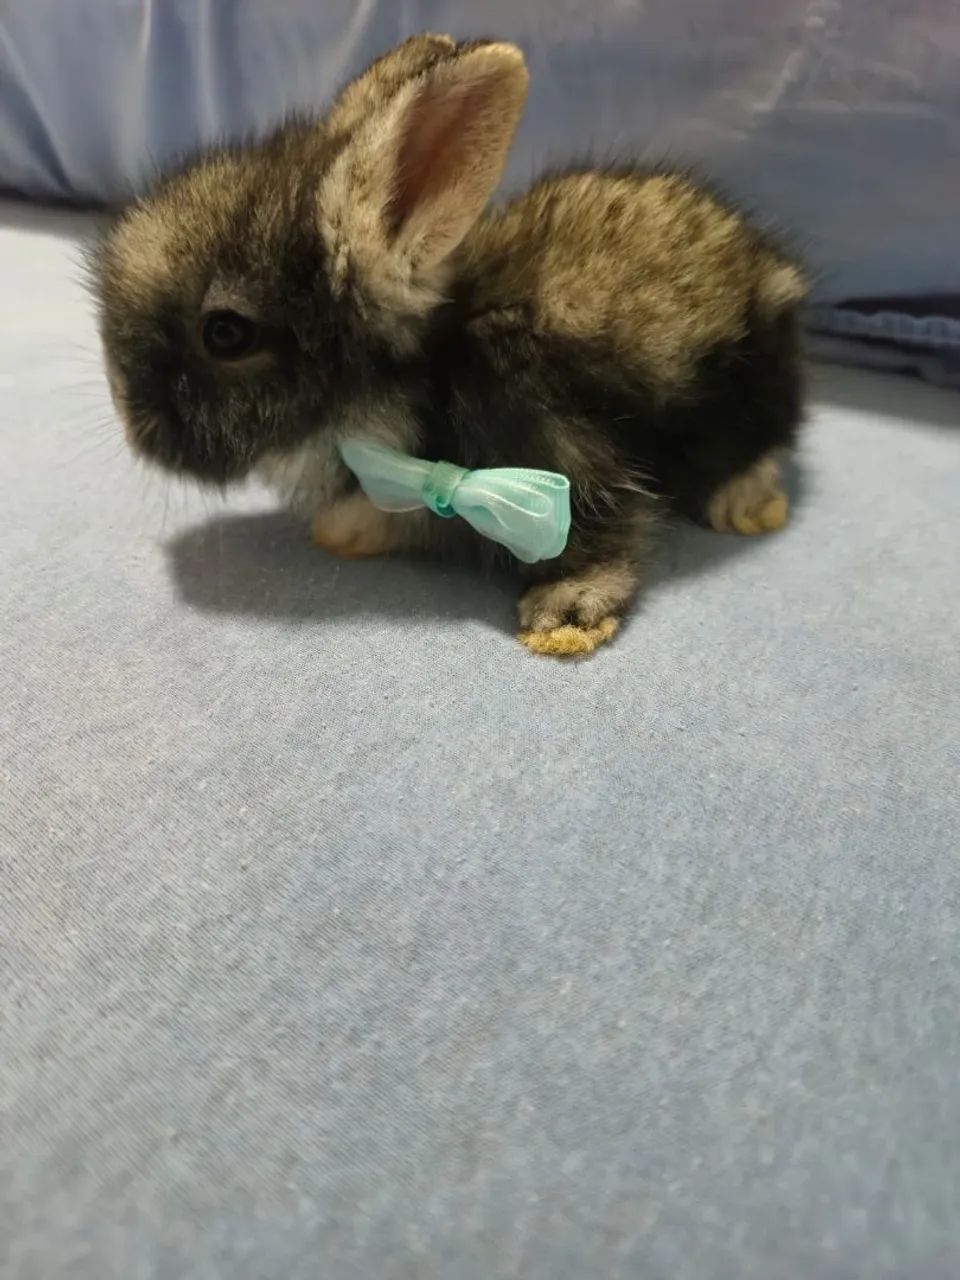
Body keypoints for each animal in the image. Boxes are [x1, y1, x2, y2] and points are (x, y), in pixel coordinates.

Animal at [92, 33, 807, 656]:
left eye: (226, 333)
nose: (129, 419)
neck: (406, 384)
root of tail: (773, 273)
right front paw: (345, 531)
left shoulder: (557, 441)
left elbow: (606, 526)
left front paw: (565, 617)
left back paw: (746, 503)